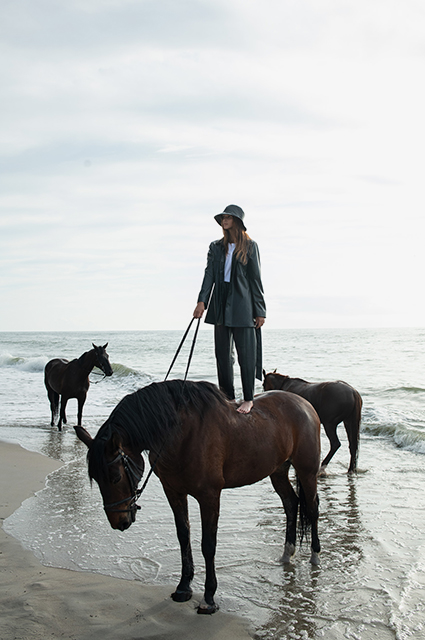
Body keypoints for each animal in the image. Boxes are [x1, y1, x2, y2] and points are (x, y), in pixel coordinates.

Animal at [74, 380, 320, 616]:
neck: (181, 433)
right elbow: (183, 536)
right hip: (277, 470)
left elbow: (208, 545)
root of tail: (304, 403)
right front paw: (184, 586)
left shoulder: (209, 496)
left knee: (312, 507)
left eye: (115, 477)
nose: (119, 522)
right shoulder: (173, 491)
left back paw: (315, 555)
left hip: (307, 472)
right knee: (291, 503)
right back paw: (287, 552)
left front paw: (209, 597)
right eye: (96, 479)